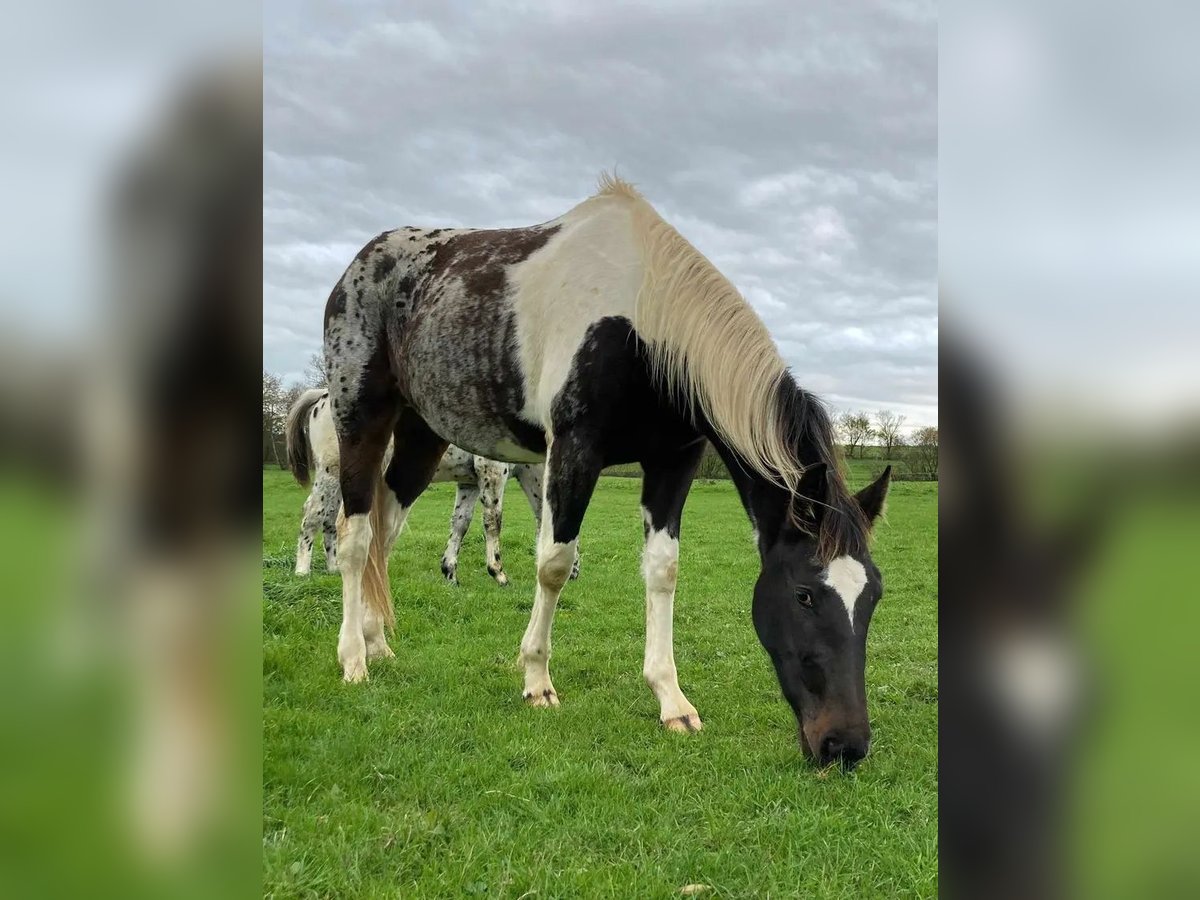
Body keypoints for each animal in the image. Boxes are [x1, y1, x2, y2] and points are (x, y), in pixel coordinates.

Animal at [285, 388, 576, 585]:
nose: (574, 573)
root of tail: (323, 396)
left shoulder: (469, 483)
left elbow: (460, 524)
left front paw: (450, 573)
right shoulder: (492, 473)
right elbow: (493, 521)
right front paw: (498, 573)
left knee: (330, 519)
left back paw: (335, 568)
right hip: (330, 473)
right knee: (312, 515)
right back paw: (302, 571)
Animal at [321, 174, 892, 768]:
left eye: (873, 595)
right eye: (804, 594)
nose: (846, 746)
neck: (644, 320)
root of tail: (361, 265)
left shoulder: (674, 460)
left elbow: (662, 569)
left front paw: (671, 699)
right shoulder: (576, 448)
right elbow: (554, 563)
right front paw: (536, 680)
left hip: (421, 436)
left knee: (384, 532)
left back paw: (377, 642)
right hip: (360, 419)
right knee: (355, 538)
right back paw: (353, 659)